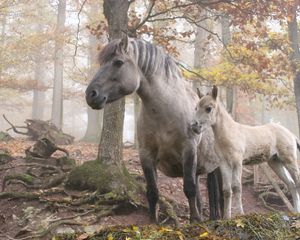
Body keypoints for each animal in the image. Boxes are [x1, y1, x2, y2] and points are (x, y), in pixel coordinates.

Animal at [85, 36, 221, 223]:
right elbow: (153, 191)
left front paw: (195, 221)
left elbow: (189, 188)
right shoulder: (146, 154)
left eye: (118, 62)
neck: (165, 112)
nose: (91, 95)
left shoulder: (189, 150)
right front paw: (153, 222)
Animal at [192, 85, 300, 218]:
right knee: (291, 184)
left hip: (289, 160)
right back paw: (295, 212)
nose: (194, 126)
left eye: (208, 108)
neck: (229, 133)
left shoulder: (237, 162)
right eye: (196, 107)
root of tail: (291, 134)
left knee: (297, 182)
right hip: (275, 162)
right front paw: (226, 217)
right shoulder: (224, 164)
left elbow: (237, 187)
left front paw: (240, 214)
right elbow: (226, 190)